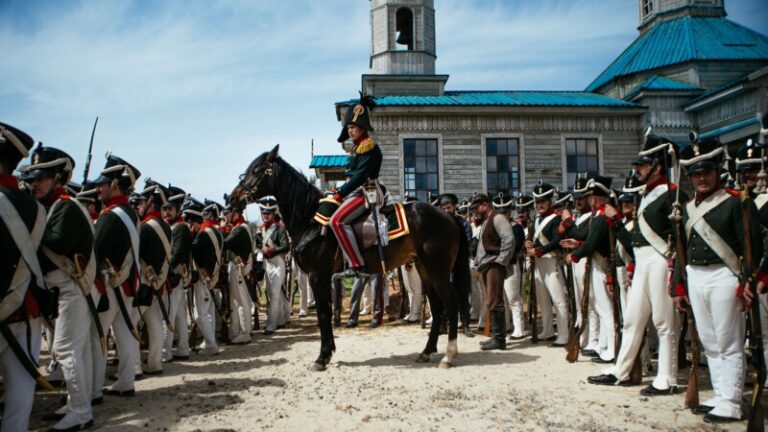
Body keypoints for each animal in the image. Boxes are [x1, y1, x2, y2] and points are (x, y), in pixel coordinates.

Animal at [232, 145, 462, 372]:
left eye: (256, 170)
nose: (232, 197)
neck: (310, 220)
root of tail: (448, 217)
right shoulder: (325, 277)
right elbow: (326, 311)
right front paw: (328, 352)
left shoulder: (317, 275)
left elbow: (323, 314)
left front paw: (322, 357)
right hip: (425, 270)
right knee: (437, 307)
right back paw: (427, 351)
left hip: (438, 270)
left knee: (451, 305)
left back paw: (448, 356)